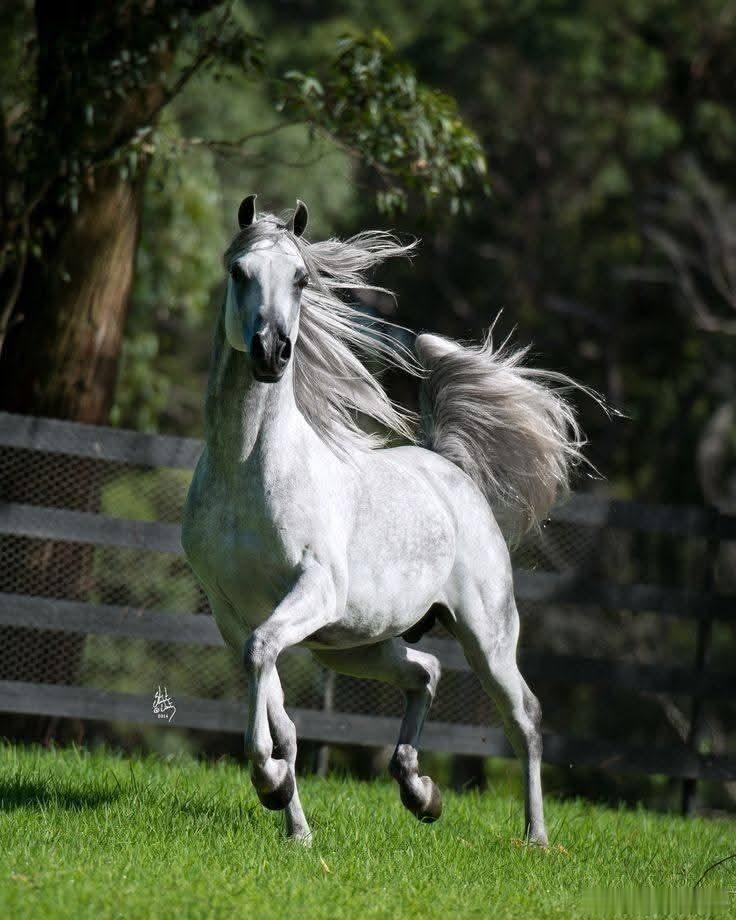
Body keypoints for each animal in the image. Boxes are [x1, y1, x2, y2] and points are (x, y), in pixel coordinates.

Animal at [182, 195, 591, 846]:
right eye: (239, 272)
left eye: (301, 280)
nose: (272, 352)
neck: (249, 470)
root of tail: (449, 467)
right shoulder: (232, 613)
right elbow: (277, 705)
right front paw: (289, 813)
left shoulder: (313, 590)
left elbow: (262, 658)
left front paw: (270, 784)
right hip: (352, 644)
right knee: (424, 672)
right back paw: (419, 791)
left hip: (485, 633)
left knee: (523, 715)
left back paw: (535, 837)